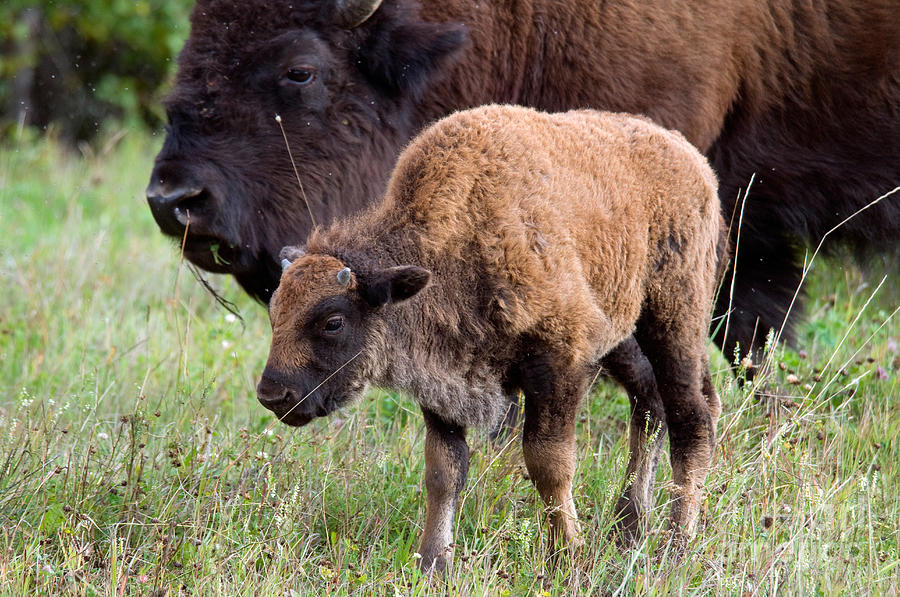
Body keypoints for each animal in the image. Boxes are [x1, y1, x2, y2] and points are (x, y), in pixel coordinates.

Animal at [256, 105, 728, 572]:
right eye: (275, 311)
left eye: (333, 321)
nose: (272, 394)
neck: (452, 254)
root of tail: (694, 162)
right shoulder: (442, 385)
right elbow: (443, 471)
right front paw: (433, 562)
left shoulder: (558, 367)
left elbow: (548, 463)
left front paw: (567, 555)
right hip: (621, 334)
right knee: (649, 403)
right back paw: (629, 526)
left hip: (674, 320)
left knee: (692, 419)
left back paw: (676, 544)